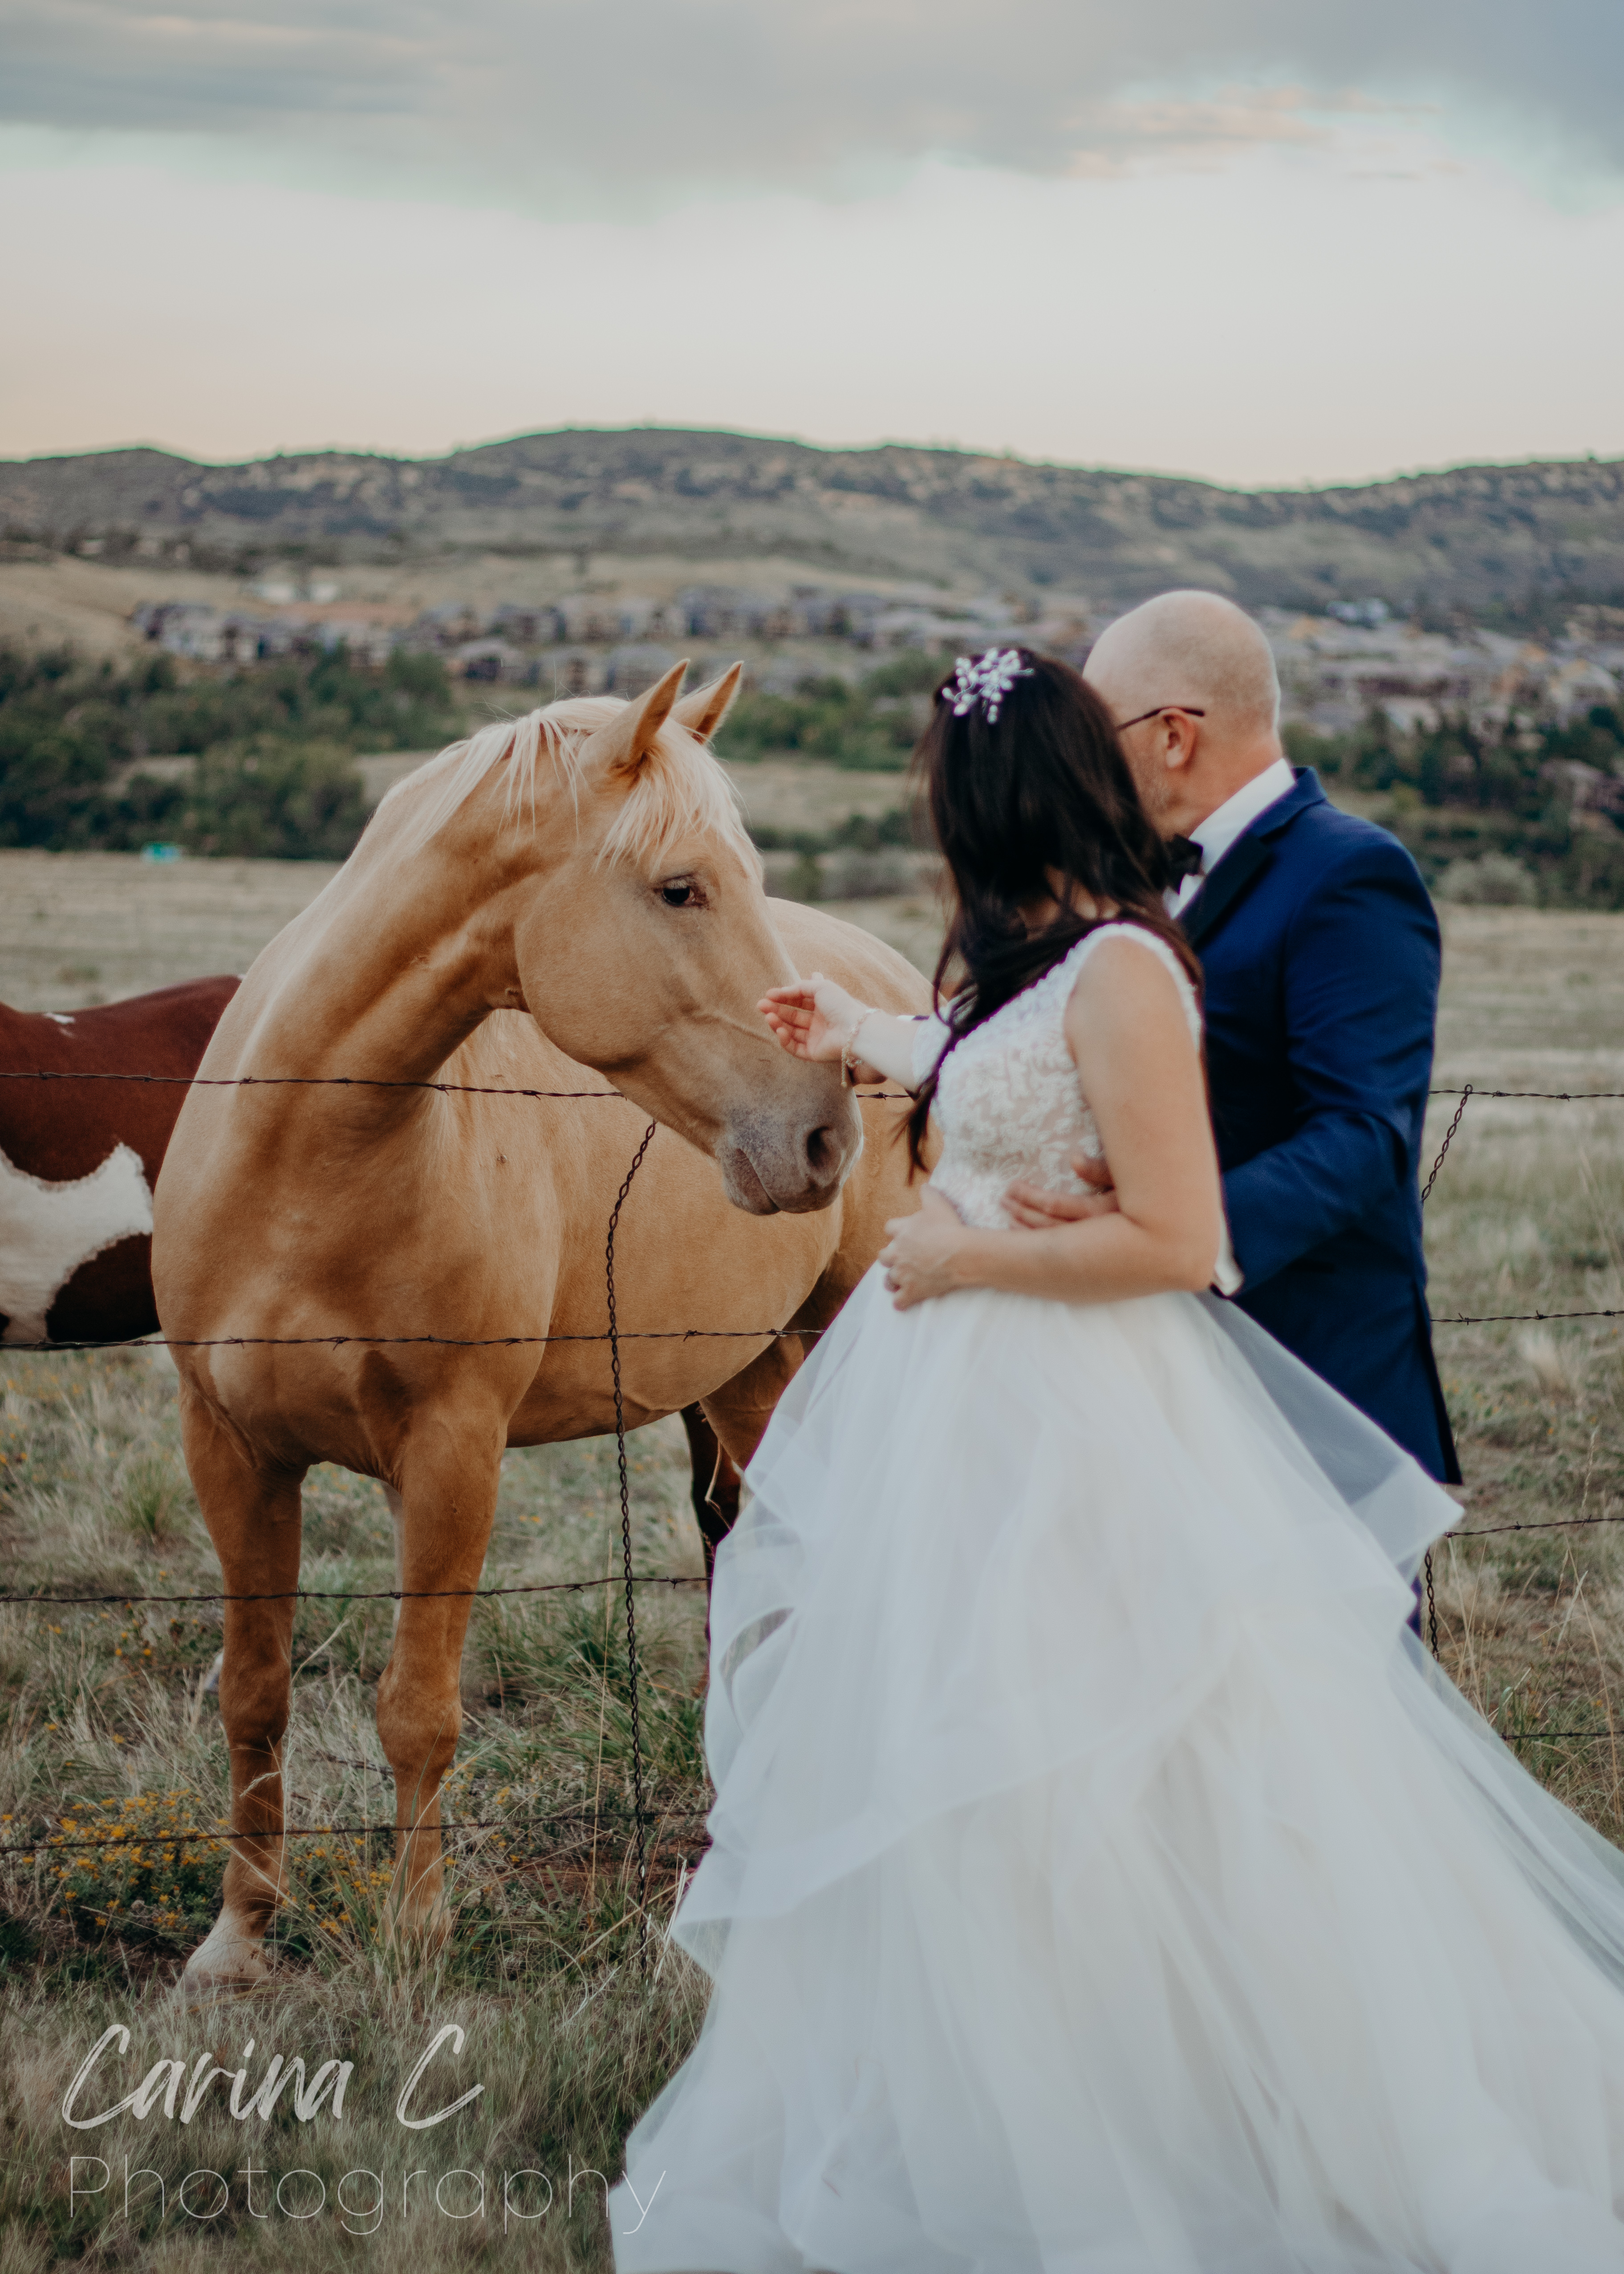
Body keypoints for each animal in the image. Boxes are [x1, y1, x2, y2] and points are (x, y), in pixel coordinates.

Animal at [157, 659, 928, 1992]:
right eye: (680, 886)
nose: (824, 1135)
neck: (308, 1160)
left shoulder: (452, 1452)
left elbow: (418, 1706)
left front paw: (417, 1940)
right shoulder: (234, 1451)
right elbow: (252, 1691)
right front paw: (238, 1941)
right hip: (748, 1379)